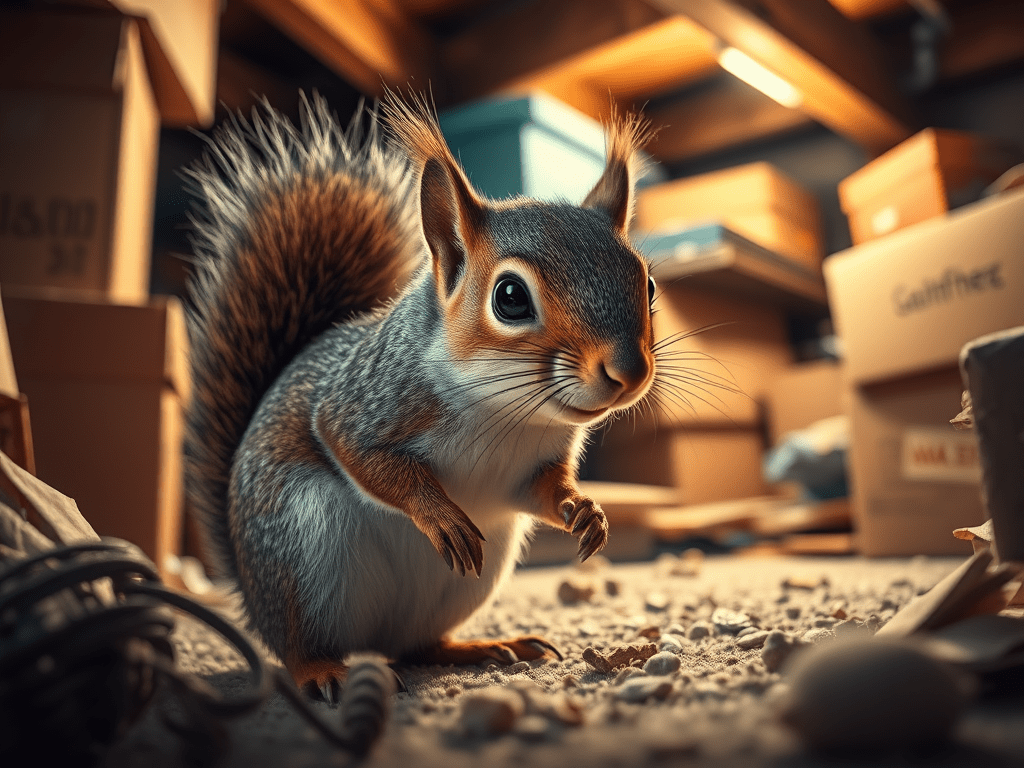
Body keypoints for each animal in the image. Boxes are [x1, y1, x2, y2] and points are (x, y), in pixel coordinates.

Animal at [183, 92, 657, 702]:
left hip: (466, 582)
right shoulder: (361, 403)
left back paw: (481, 648)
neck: (506, 413)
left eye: (648, 285)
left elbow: (544, 491)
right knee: (298, 644)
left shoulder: (530, 468)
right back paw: (322, 671)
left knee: (418, 646)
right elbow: (365, 457)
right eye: (510, 297)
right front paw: (440, 515)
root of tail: (250, 592)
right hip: (301, 549)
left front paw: (584, 511)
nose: (630, 372)